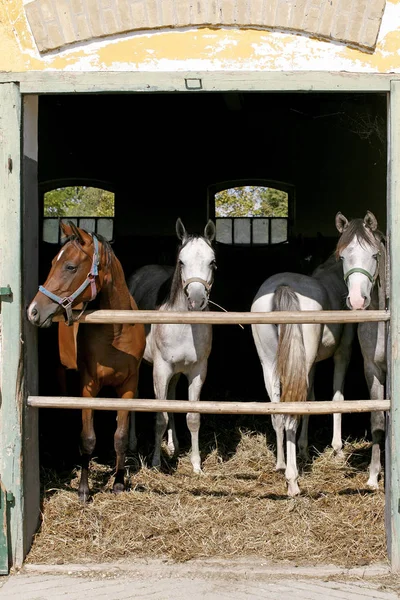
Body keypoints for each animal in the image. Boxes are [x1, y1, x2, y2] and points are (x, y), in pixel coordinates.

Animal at [27, 221, 145, 502]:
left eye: (70, 266)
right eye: (52, 262)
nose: (33, 311)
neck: (116, 330)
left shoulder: (128, 387)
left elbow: (120, 437)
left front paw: (118, 483)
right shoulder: (88, 387)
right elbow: (87, 438)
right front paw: (83, 490)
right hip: (62, 374)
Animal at [127, 218, 216, 476]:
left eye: (212, 261)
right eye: (181, 261)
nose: (196, 300)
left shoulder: (197, 371)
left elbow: (192, 417)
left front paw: (196, 465)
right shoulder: (161, 370)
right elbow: (160, 417)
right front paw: (156, 462)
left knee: (173, 396)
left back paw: (173, 444)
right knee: (135, 394)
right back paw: (132, 442)